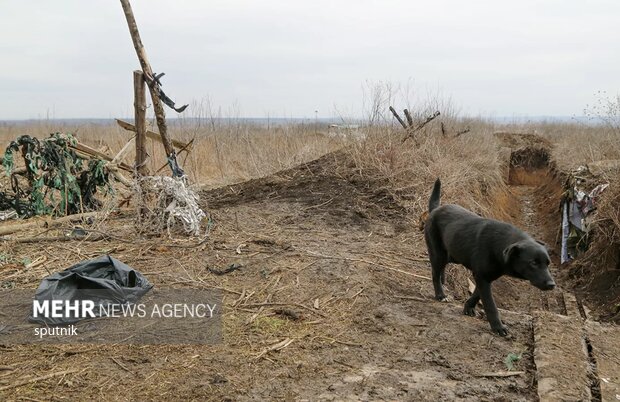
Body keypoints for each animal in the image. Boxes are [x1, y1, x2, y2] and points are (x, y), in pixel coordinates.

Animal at [424, 179, 556, 336]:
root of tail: (435, 210)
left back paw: (443, 282)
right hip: (438, 254)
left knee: (441, 270)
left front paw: (468, 308)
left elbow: (477, 295)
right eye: (533, 263)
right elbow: (490, 304)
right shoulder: (482, 277)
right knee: (434, 273)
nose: (552, 285)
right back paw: (440, 294)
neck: (499, 248)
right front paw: (498, 327)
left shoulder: (485, 277)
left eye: (548, 263)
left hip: (452, 254)